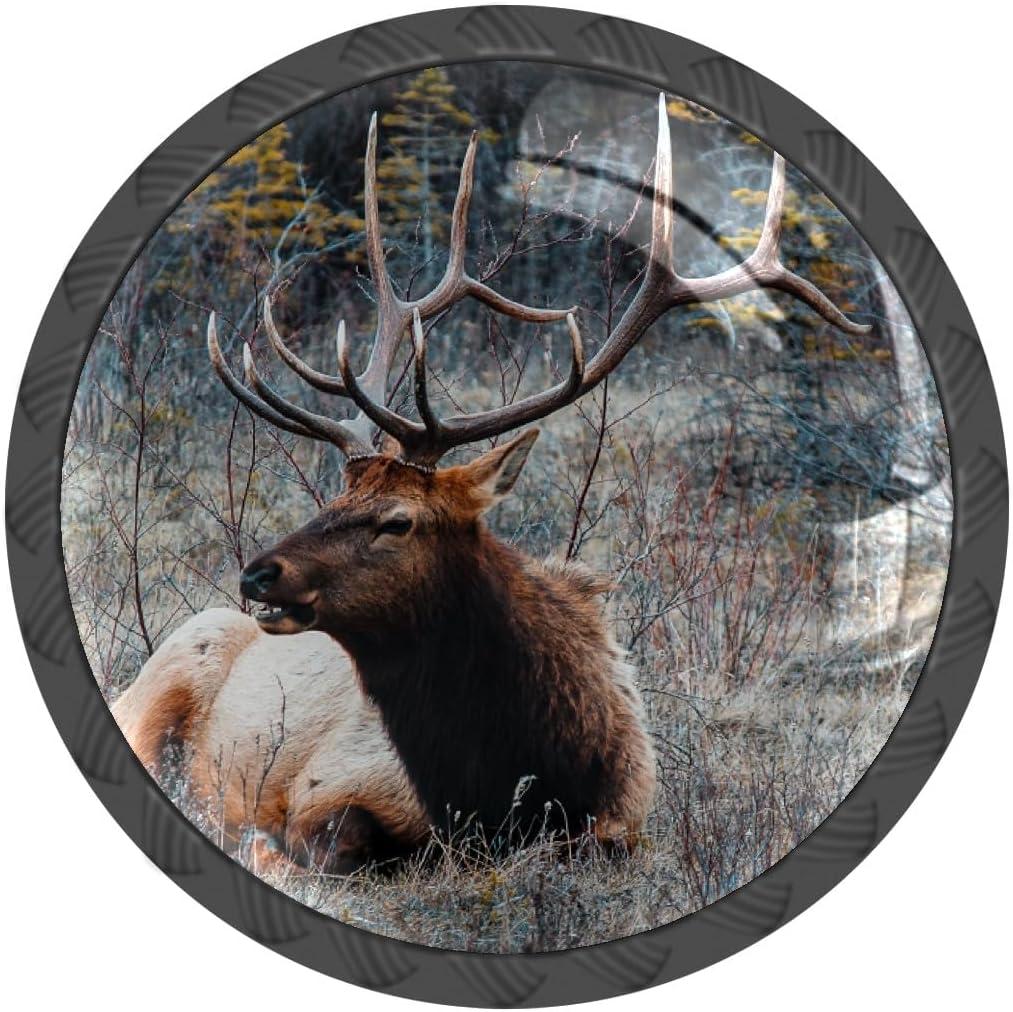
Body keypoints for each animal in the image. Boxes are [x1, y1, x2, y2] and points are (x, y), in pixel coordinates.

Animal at [114, 94, 869, 872]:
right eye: (335, 497)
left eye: (397, 520)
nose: (258, 573)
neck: (508, 780)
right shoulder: (330, 784)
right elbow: (322, 843)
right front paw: (255, 840)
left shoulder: (623, 823)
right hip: (155, 686)